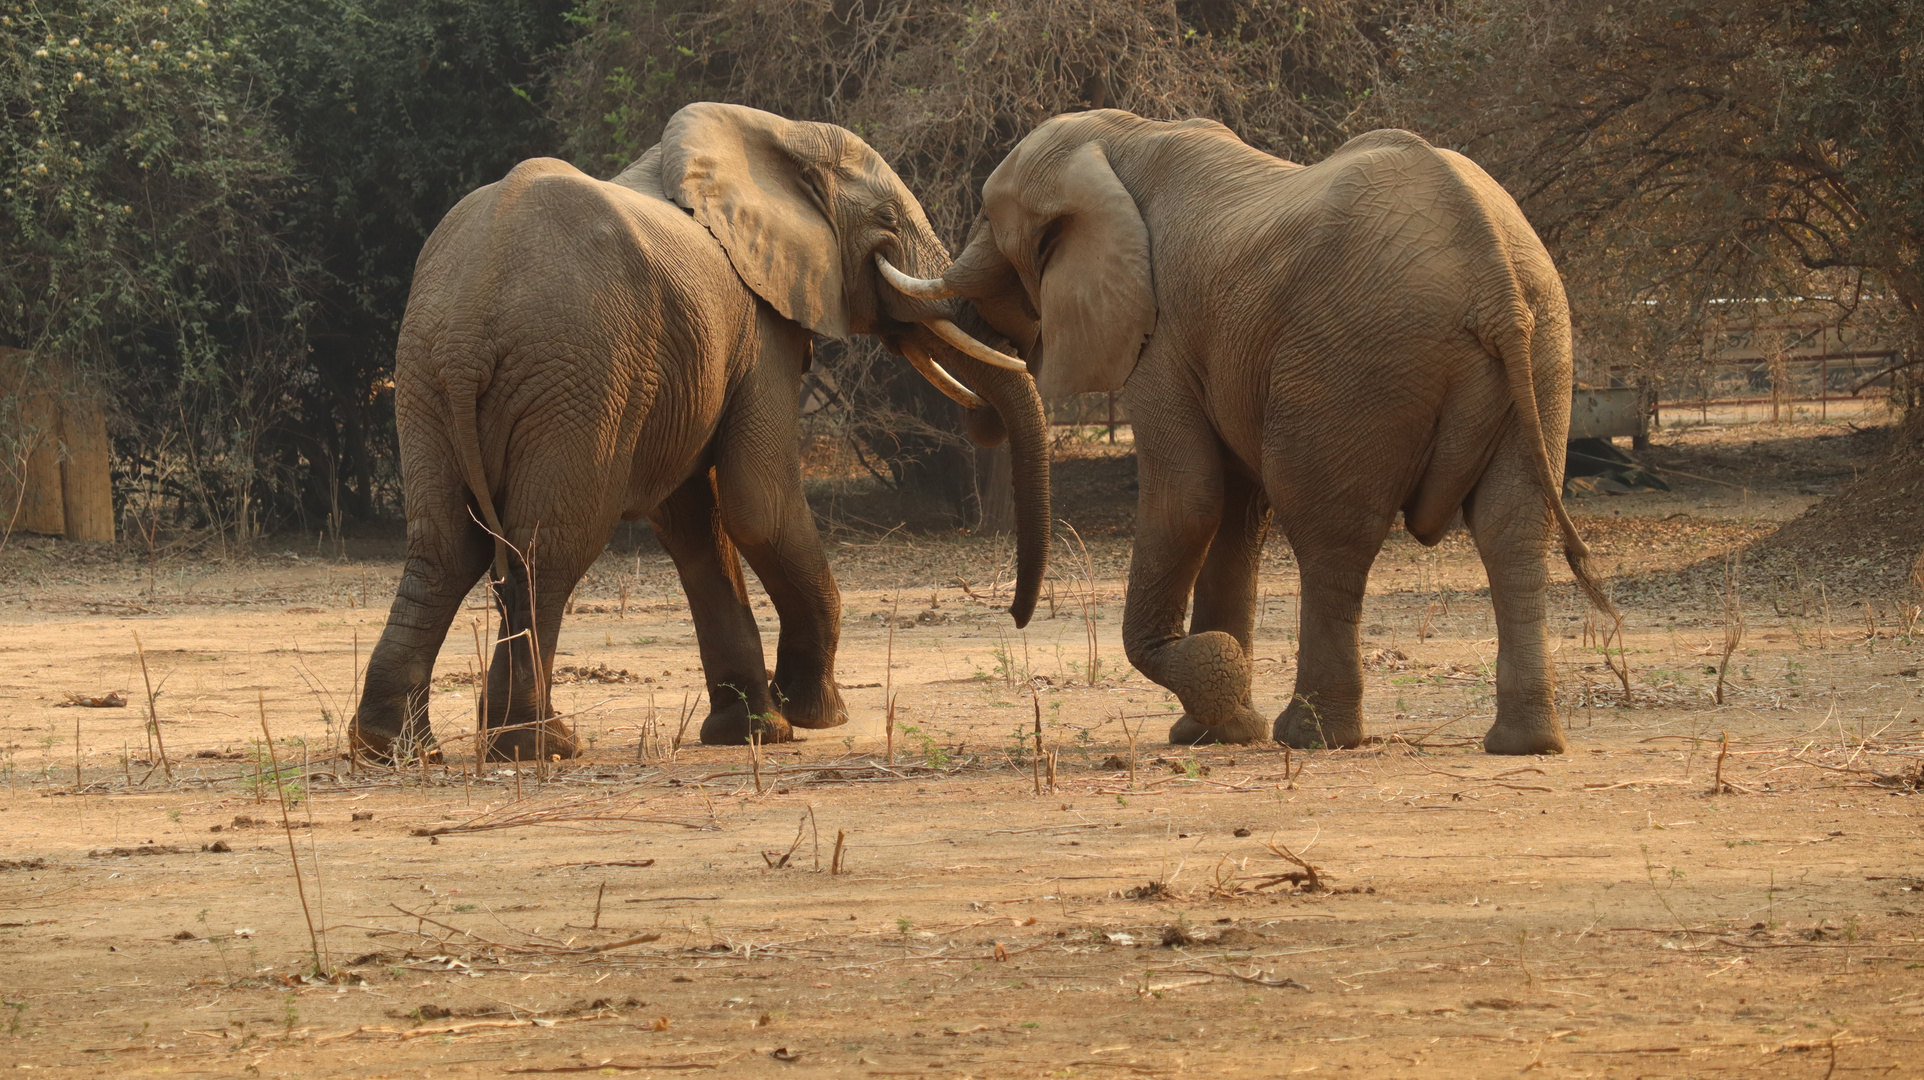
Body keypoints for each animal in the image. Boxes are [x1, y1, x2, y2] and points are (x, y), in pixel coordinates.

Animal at [357, 99, 1054, 758]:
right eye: (887, 221)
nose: (1017, 616)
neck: (773, 136)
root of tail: (470, 319)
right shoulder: (760, 328)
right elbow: (757, 506)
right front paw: (811, 716)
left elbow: (694, 525)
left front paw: (755, 731)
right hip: (578, 374)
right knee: (547, 550)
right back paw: (540, 745)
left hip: (426, 379)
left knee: (444, 547)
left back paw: (397, 747)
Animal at [885, 107, 1608, 750]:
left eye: (987, 216)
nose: (1016, 617)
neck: (1119, 138)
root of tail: (1494, 278)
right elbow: (1235, 511)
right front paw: (1217, 729)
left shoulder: (1162, 335)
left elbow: (1191, 498)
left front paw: (1217, 692)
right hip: (1545, 351)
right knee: (1512, 529)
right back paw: (1525, 744)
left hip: (1354, 363)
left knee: (1329, 532)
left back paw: (1312, 737)